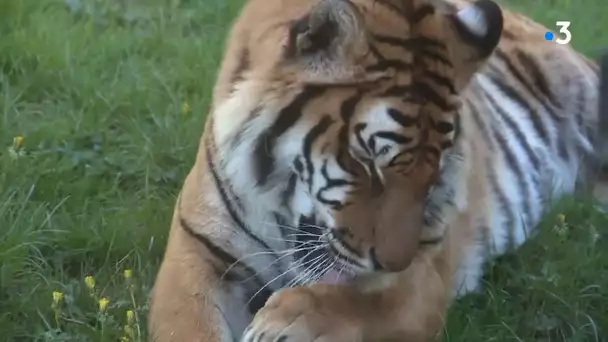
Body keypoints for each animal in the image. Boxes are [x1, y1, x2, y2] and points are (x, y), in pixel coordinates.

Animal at [146, 0, 604, 340]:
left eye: (435, 171)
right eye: (367, 162)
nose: (393, 263)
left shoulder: (426, 274)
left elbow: (367, 299)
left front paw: (285, 322)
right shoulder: (197, 250)